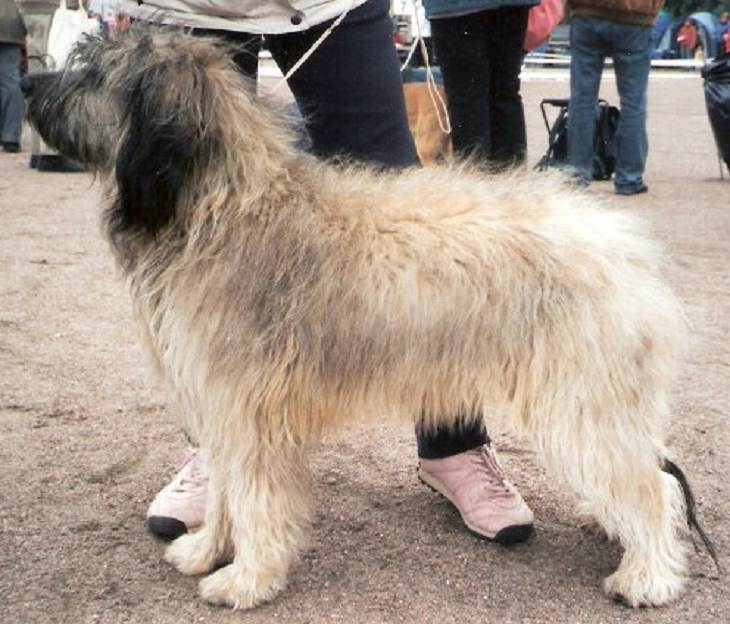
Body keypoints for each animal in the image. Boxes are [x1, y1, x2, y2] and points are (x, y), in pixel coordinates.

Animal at [22, 28, 716, 608]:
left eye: (93, 72)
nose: (27, 83)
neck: (218, 205)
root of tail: (630, 252)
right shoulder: (221, 407)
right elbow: (222, 494)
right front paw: (205, 550)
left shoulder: (248, 415)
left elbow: (254, 501)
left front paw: (247, 579)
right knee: (652, 475)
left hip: (582, 402)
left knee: (649, 488)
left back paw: (648, 577)